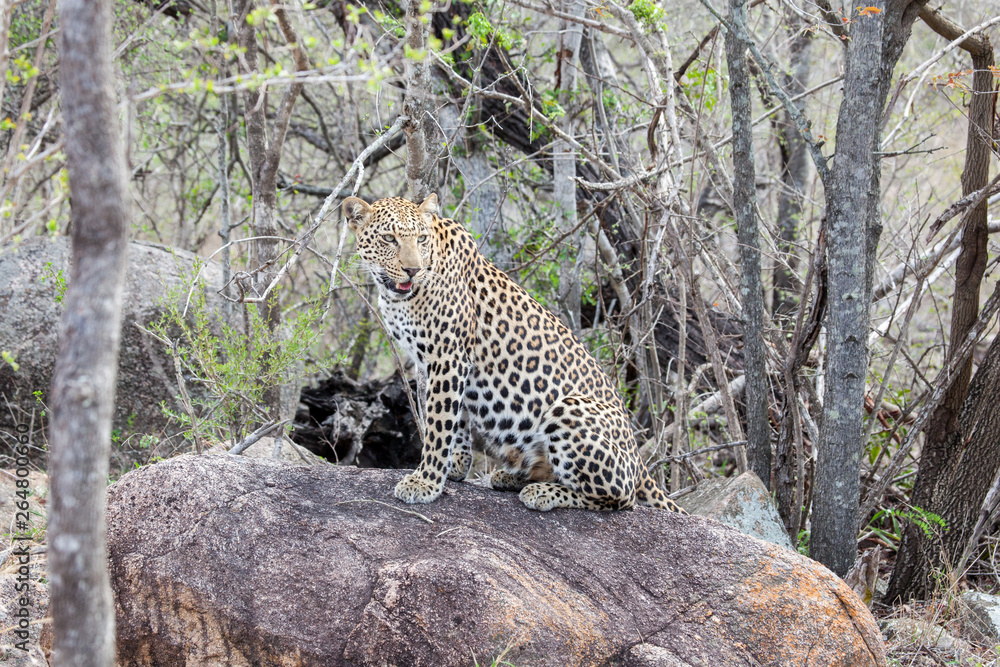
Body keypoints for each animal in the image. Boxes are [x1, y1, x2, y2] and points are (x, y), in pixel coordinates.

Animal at [346, 192, 688, 512]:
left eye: (421, 239)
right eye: (388, 239)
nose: (412, 270)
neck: (396, 295)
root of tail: (640, 464)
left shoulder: (448, 356)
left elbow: (439, 424)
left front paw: (426, 480)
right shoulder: (443, 363)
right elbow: (457, 420)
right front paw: (455, 467)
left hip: (571, 407)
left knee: (619, 496)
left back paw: (541, 492)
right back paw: (513, 477)